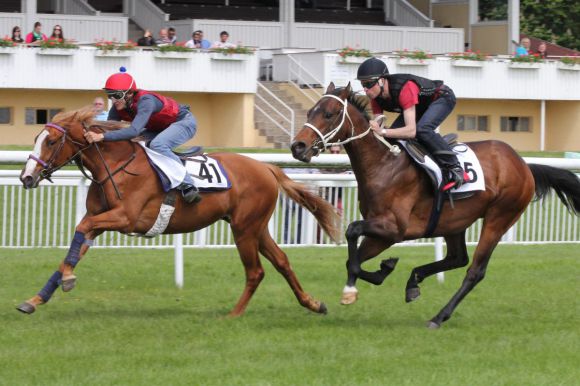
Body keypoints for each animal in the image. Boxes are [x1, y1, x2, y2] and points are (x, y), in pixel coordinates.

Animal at [18, 108, 342, 316]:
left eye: (50, 141)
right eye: (36, 139)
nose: (26, 177)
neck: (115, 166)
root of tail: (266, 167)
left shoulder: (126, 219)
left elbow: (80, 229)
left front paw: (67, 281)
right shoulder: (99, 221)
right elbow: (73, 249)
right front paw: (35, 299)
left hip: (244, 228)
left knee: (256, 271)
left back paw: (234, 315)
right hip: (256, 227)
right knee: (282, 262)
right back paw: (313, 303)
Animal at [292, 83, 580, 328]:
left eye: (329, 114)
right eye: (311, 111)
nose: (298, 146)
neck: (383, 164)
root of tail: (523, 165)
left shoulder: (394, 228)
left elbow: (352, 231)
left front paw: (351, 290)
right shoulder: (382, 233)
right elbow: (353, 259)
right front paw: (385, 268)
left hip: (499, 217)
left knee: (475, 270)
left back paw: (439, 316)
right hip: (454, 222)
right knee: (457, 258)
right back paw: (414, 280)